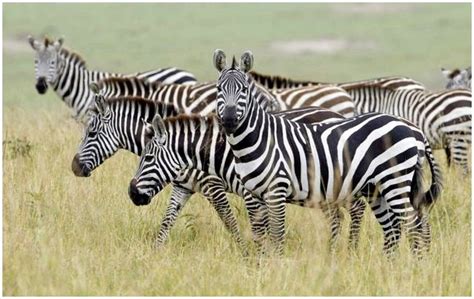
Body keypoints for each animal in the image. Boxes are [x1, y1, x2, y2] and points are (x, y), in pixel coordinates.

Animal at [213, 50, 442, 256]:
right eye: (218, 89)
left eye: (244, 89)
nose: (229, 120)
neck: (256, 140)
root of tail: (412, 129)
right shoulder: (253, 193)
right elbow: (260, 235)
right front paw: (262, 266)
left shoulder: (276, 190)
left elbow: (276, 235)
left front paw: (276, 266)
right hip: (377, 188)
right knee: (395, 226)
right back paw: (389, 265)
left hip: (395, 180)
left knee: (414, 223)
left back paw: (416, 265)